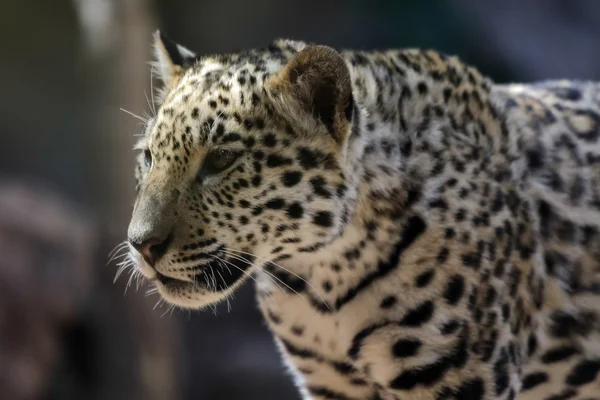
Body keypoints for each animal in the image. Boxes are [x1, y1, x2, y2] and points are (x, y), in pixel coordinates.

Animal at [124, 32, 600, 400]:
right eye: (148, 158)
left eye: (221, 160)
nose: (141, 245)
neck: (322, 278)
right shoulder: (329, 383)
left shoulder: (466, 380)